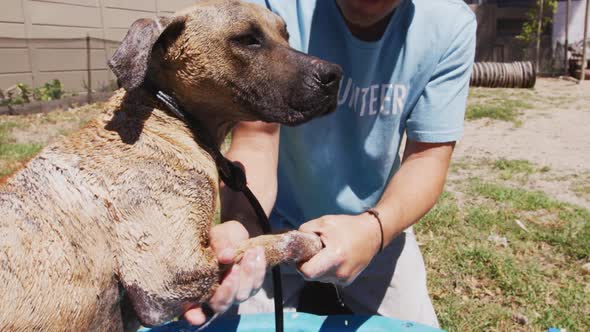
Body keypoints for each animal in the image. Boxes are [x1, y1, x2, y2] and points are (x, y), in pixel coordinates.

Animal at [0, 0, 342, 330]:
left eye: (285, 35)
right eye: (246, 39)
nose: (334, 74)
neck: (165, 114)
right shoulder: (167, 280)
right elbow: (268, 241)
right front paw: (304, 239)